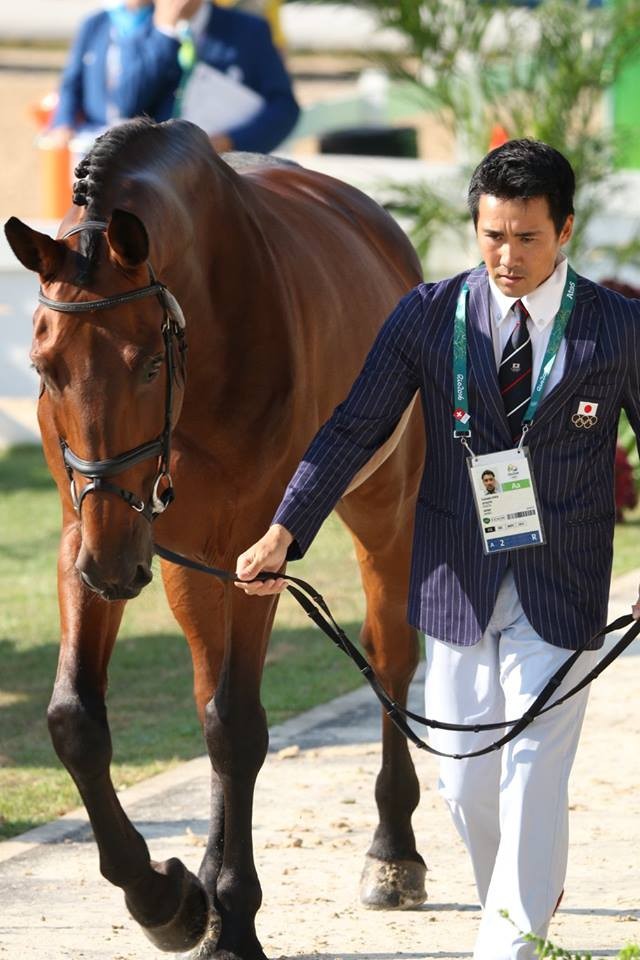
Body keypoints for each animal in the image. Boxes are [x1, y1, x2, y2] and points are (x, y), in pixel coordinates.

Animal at [5, 116, 428, 956]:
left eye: (145, 365)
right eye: (44, 364)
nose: (114, 565)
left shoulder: (254, 547)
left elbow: (236, 728)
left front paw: (228, 914)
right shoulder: (88, 534)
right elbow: (76, 719)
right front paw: (167, 899)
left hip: (384, 508)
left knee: (390, 656)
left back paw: (393, 851)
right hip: (178, 561)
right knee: (206, 690)